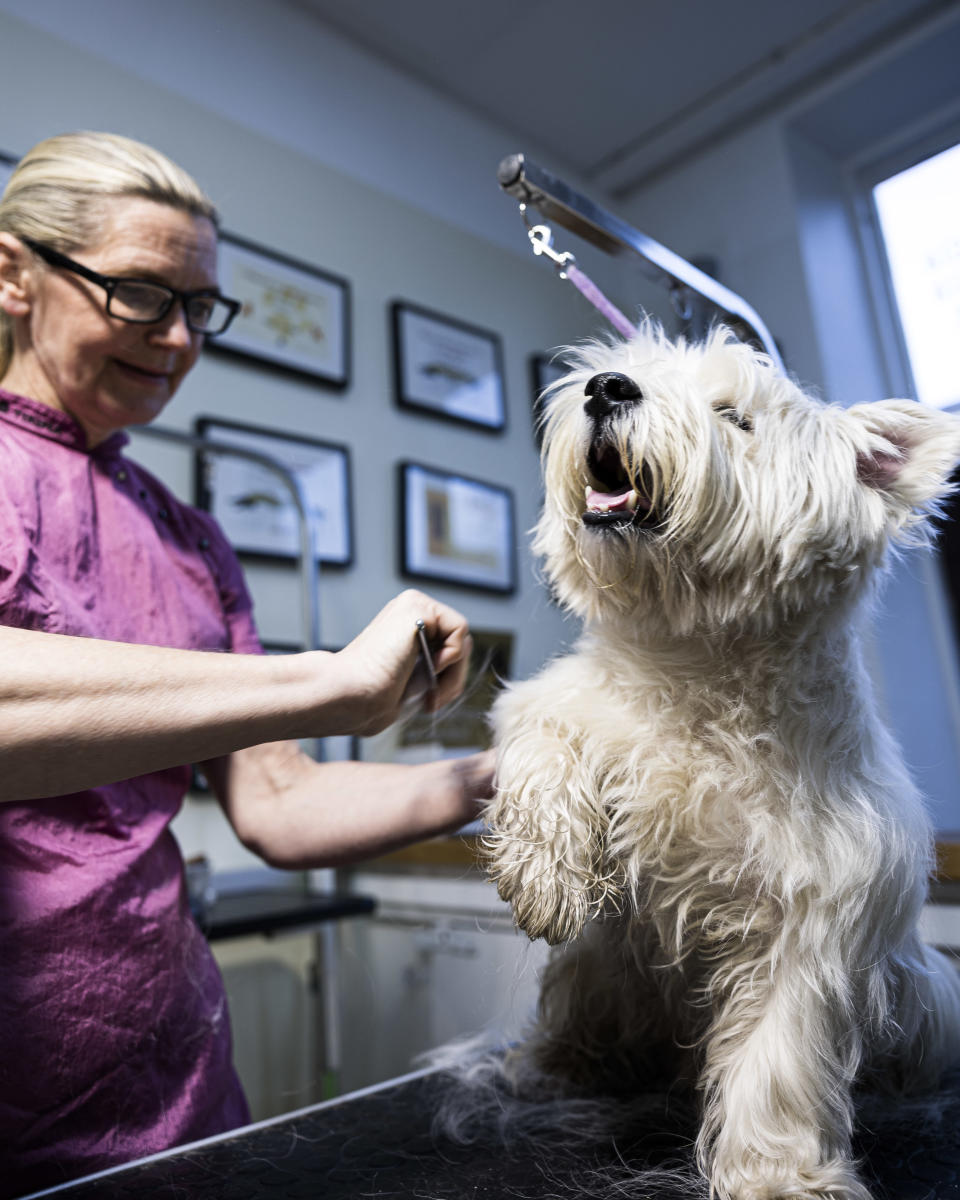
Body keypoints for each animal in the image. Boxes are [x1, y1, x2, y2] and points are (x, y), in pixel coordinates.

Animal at [484, 324, 960, 1195]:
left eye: (735, 416)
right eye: (630, 370)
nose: (606, 388)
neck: (699, 668)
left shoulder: (814, 922)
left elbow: (778, 1055)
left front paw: (777, 1177)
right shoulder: (561, 706)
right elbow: (545, 740)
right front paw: (543, 873)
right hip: (601, 977)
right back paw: (549, 1064)